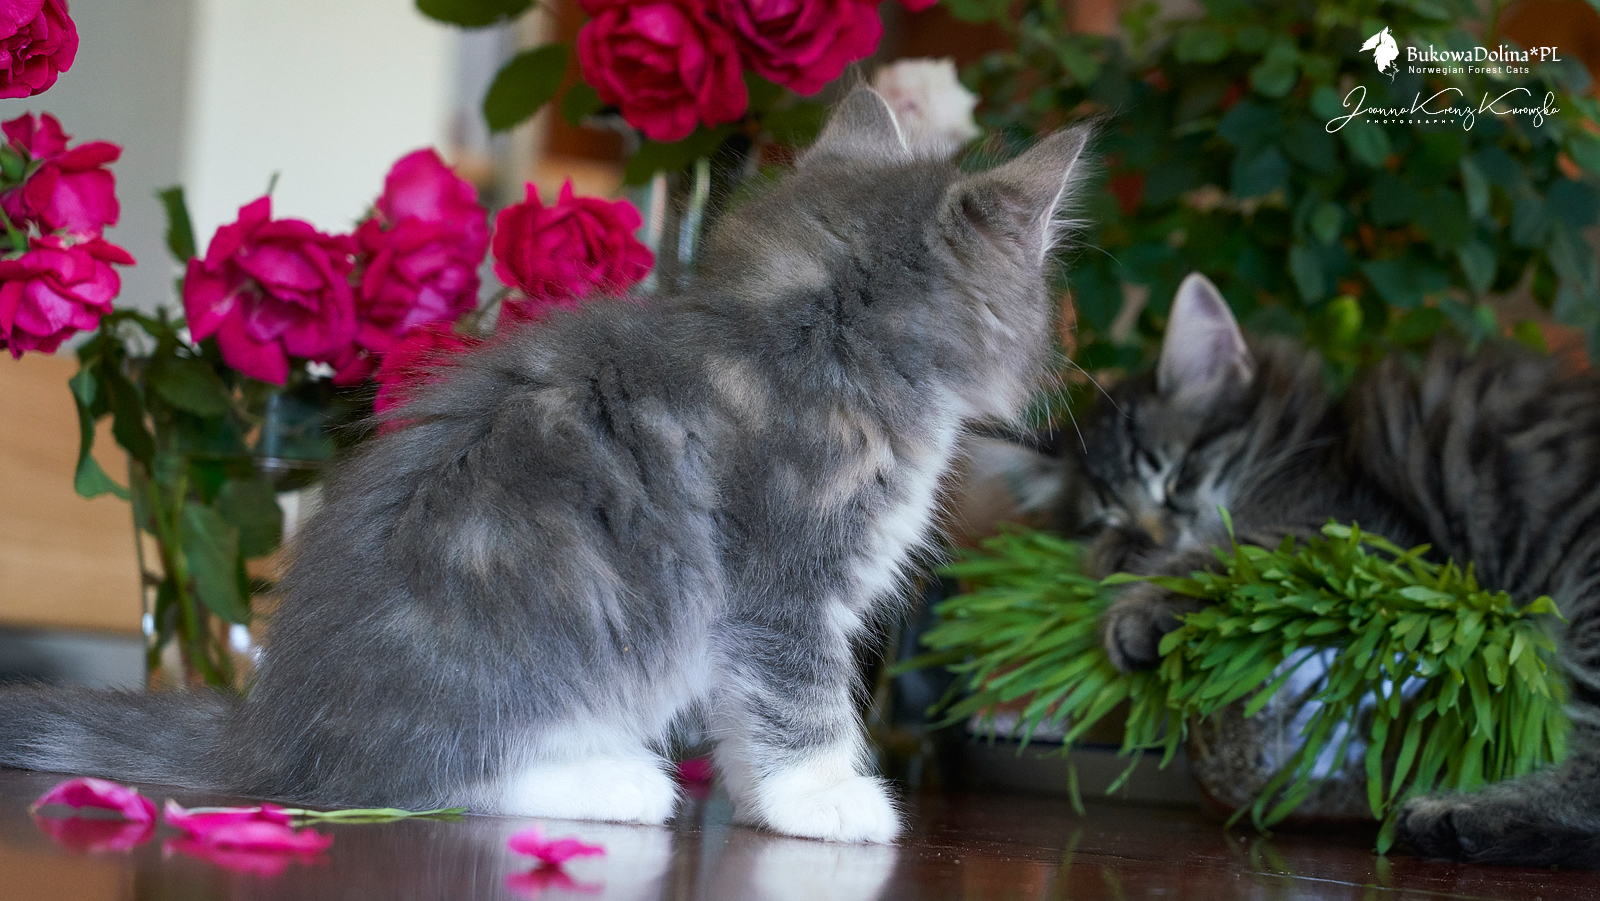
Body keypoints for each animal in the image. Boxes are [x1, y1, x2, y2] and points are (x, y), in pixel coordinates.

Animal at [0, 88, 1093, 844]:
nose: (1062, 351)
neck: (819, 339)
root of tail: (277, 723)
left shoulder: (755, 617)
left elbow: (748, 714)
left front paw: (762, 799)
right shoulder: (783, 584)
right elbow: (802, 701)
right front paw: (825, 802)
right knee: (410, 784)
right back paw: (612, 780)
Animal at [1067, 271, 1600, 867]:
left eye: (1177, 475)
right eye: (1110, 516)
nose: (1155, 536)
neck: (1312, 452)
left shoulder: (1370, 534)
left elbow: (1237, 550)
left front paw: (1132, 610)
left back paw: (1458, 815)